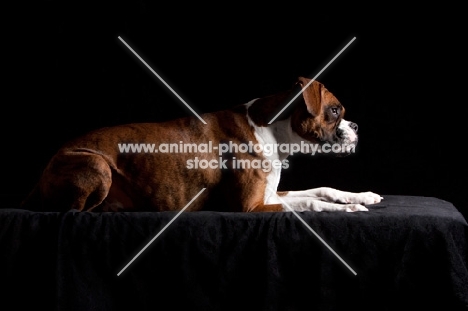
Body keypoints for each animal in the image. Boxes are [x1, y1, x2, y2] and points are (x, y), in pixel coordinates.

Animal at [22, 77, 382, 214]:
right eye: (334, 111)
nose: (356, 127)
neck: (273, 131)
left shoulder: (270, 195)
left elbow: (320, 189)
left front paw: (359, 196)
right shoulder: (252, 206)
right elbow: (309, 203)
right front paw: (347, 209)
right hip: (95, 164)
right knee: (73, 210)